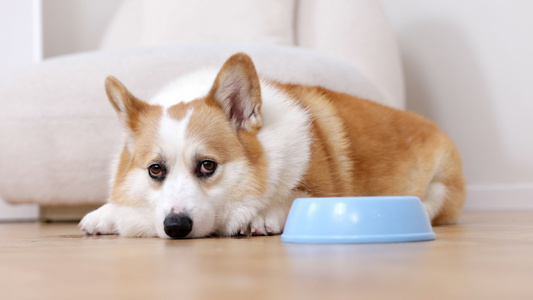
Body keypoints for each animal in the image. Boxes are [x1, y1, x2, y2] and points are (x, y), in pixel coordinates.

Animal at [79, 52, 466, 238]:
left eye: (207, 165)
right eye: (155, 170)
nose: (176, 228)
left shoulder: (323, 190)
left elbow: (294, 196)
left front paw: (263, 216)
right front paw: (104, 215)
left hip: (439, 189)